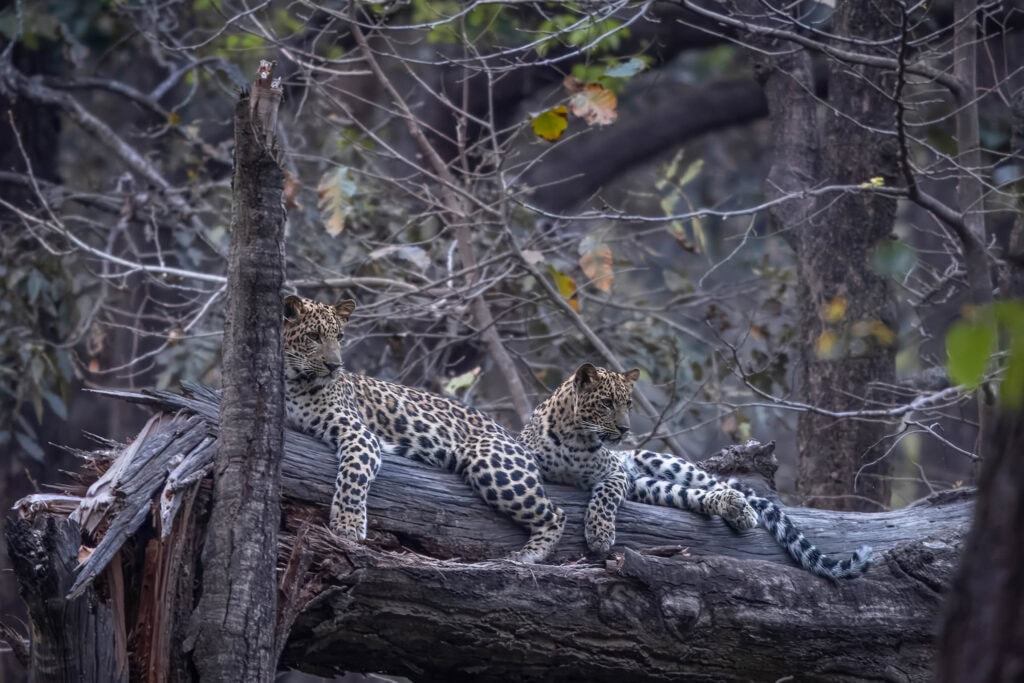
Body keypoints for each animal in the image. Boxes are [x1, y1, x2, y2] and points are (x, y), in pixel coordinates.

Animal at [282, 295, 565, 563]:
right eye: (313, 336)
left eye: (340, 337)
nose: (334, 366)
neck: (293, 382)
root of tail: (512, 436)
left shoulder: (360, 434)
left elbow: (354, 477)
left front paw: (347, 524)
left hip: (493, 464)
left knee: (557, 514)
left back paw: (530, 555)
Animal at [520, 363, 872, 580]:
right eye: (607, 403)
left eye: (628, 404)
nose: (624, 429)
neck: (577, 439)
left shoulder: (615, 474)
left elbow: (605, 496)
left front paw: (600, 533)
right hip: (648, 485)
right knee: (696, 497)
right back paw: (733, 508)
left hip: (667, 464)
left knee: (723, 487)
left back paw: (742, 509)